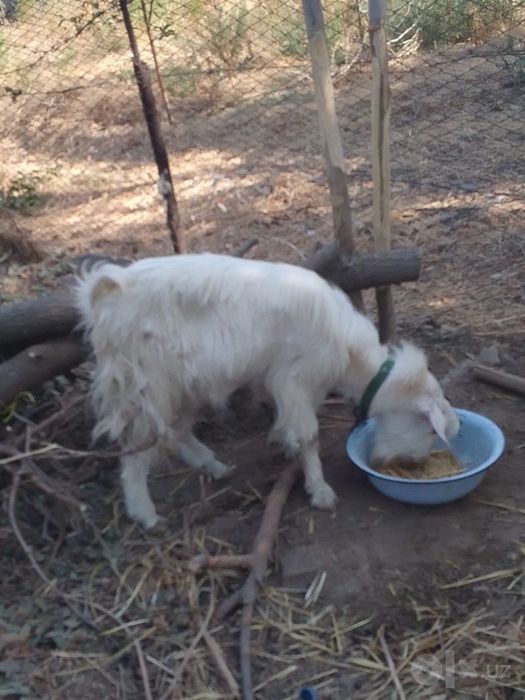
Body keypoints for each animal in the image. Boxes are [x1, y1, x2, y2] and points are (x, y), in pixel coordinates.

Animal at [76, 253, 459, 529]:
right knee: (135, 447)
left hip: (183, 384)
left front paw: (286, 446)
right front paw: (320, 491)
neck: (351, 353)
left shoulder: (275, 379)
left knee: (177, 430)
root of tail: (106, 288)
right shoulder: (295, 379)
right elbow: (310, 435)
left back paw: (214, 466)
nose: (418, 464)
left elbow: (285, 421)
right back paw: (145, 513)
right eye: (429, 428)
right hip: (143, 383)